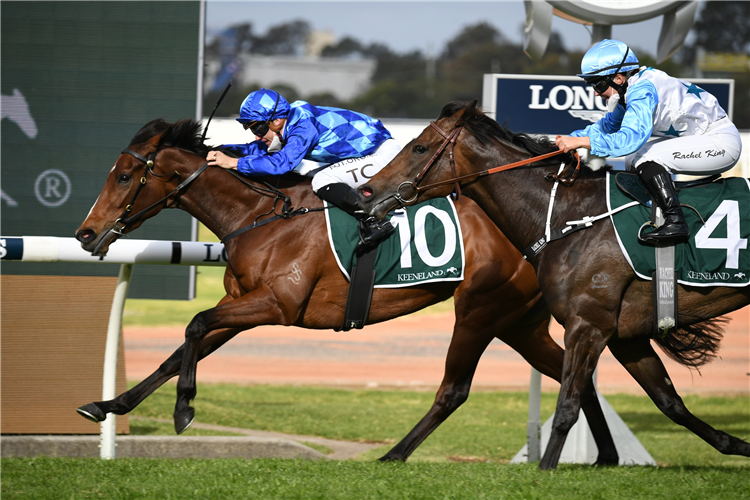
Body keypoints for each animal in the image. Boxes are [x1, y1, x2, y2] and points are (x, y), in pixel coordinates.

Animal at [75, 119, 624, 462]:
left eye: (124, 175)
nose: (85, 233)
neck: (261, 215)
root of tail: (555, 222)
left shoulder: (276, 304)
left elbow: (194, 324)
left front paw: (184, 409)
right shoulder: (241, 303)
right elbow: (182, 348)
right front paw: (107, 406)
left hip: (481, 310)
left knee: (457, 389)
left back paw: (395, 455)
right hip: (519, 322)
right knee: (575, 378)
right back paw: (606, 457)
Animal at [358, 100, 750, 468]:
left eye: (419, 148)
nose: (366, 192)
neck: (569, 215)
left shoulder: (587, 326)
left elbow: (567, 407)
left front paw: (546, 468)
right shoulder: (625, 335)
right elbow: (670, 402)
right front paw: (735, 444)